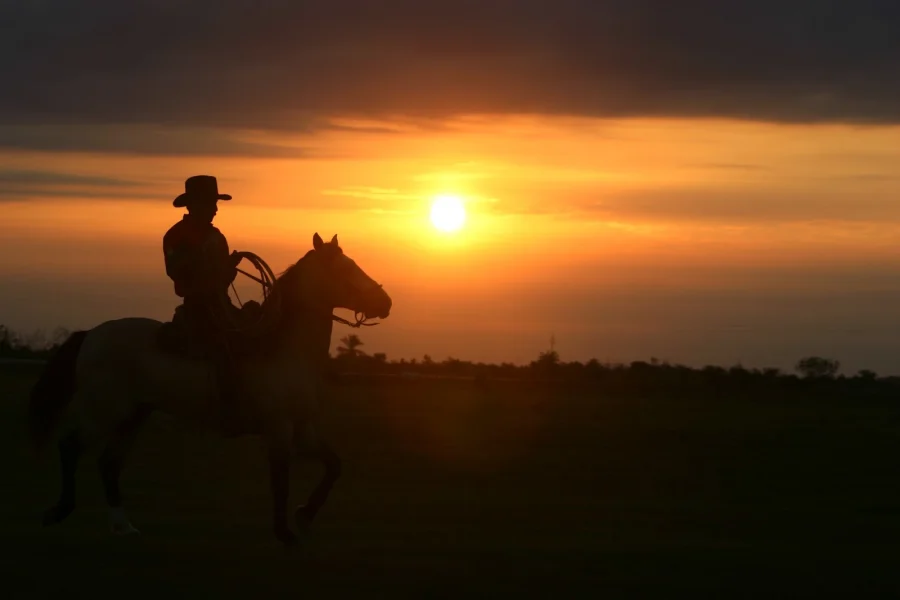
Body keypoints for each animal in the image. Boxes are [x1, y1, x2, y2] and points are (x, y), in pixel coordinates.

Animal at [27, 231, 390, 544]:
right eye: (347, 268)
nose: (385, 302)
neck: (284, 347)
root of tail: (90, 335)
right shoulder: (279, 428)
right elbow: (280, 481)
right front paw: (285, 534)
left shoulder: (304, 429)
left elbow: (334, 465)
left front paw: (303, 516)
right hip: (104, 411)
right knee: (70, 446)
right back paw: (58, 512)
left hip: (133, 415)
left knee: (108, 463)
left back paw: (123, 526)